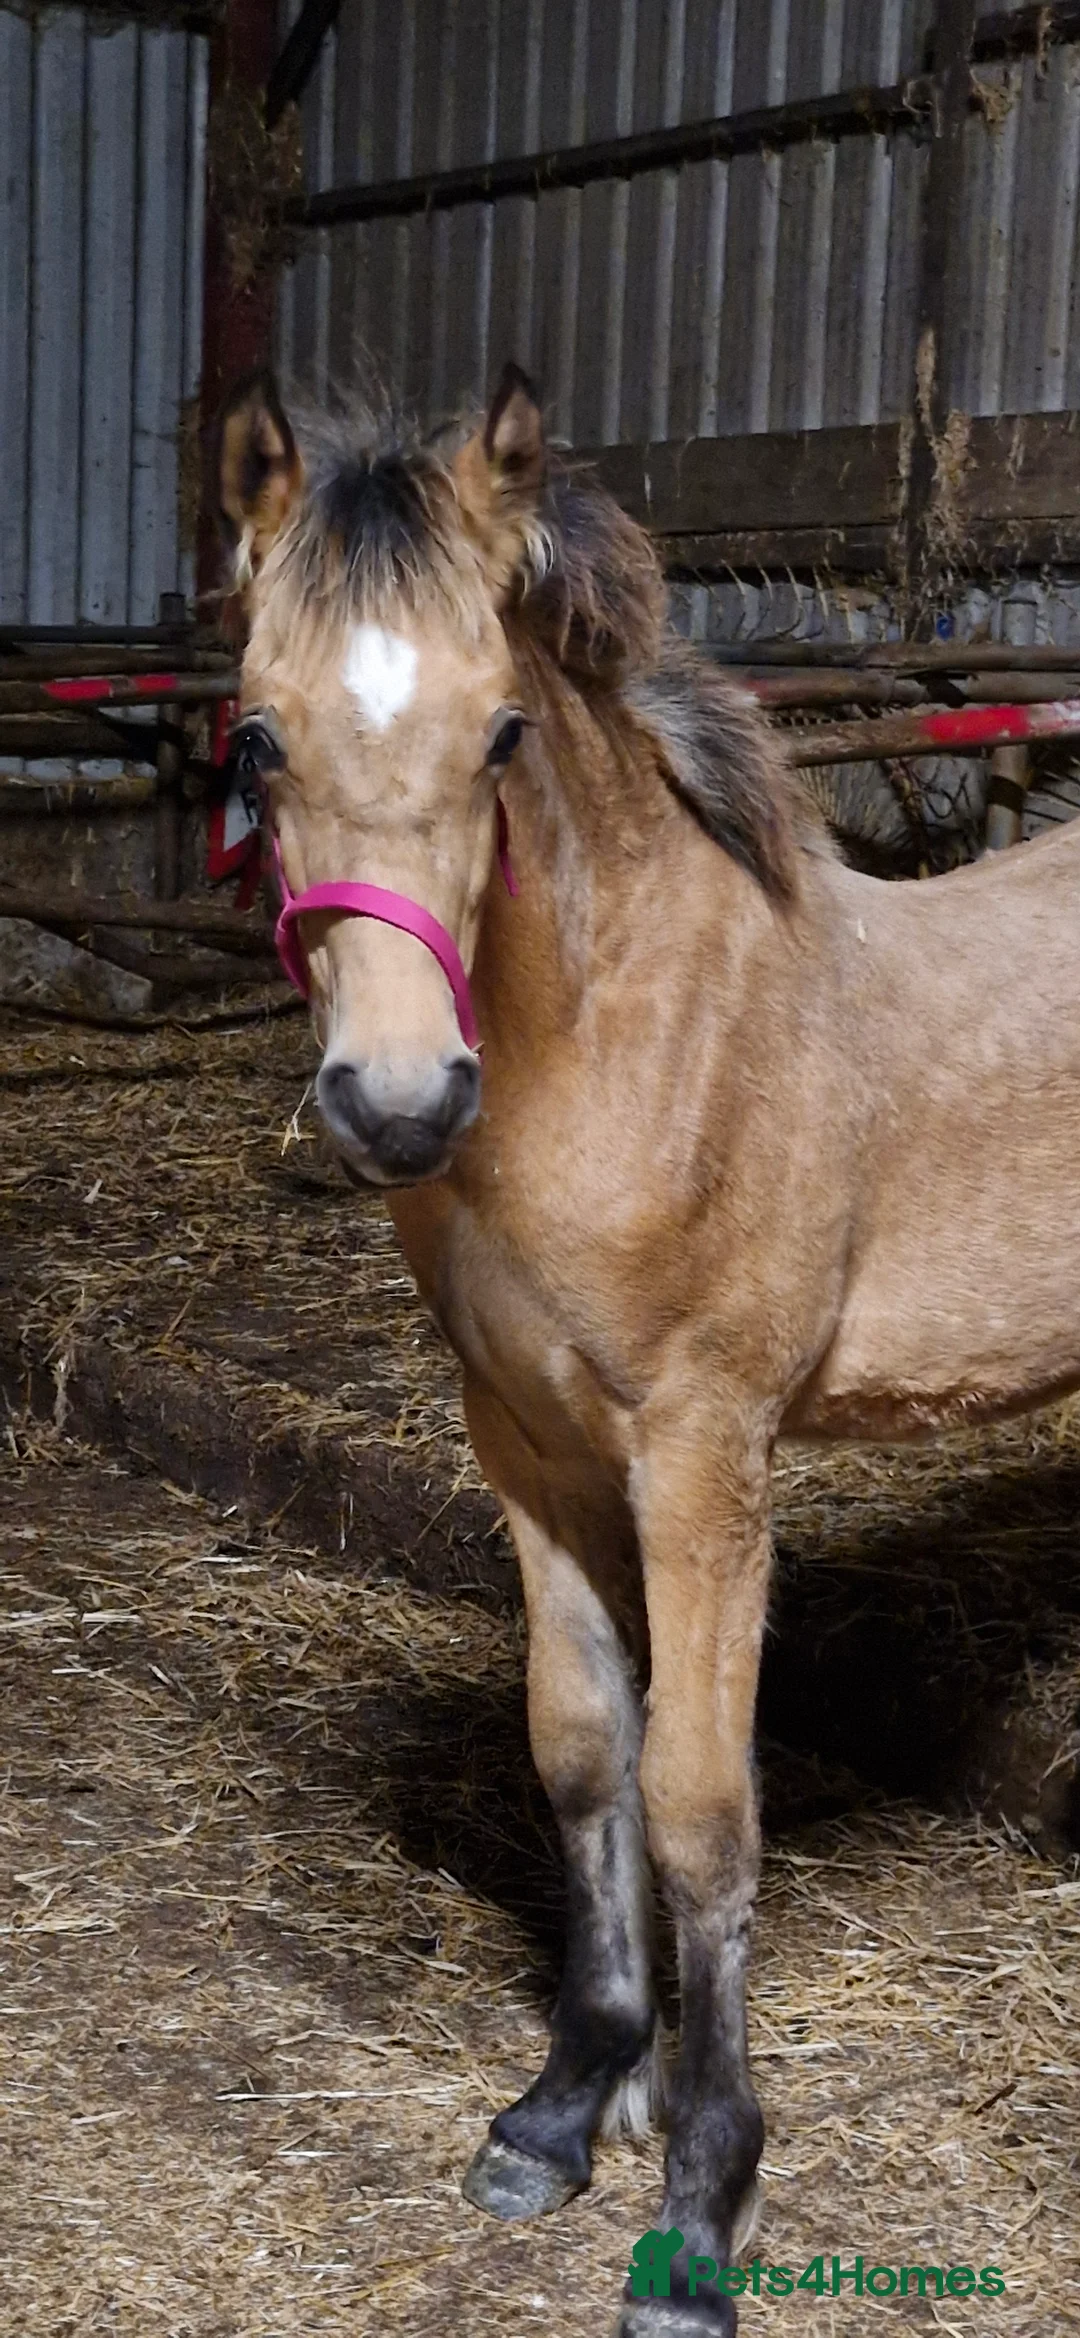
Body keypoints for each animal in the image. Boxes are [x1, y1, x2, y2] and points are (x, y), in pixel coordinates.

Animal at [215, 362, 1080, 2336]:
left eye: (502, 734)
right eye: (259, 740)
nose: (398, 1103)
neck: (622, 1040)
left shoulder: (703, 1454)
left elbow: (696, 1806)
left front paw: (701, 2196)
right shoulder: (528, 1442)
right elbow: (579, 1751)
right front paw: (563, 2100)